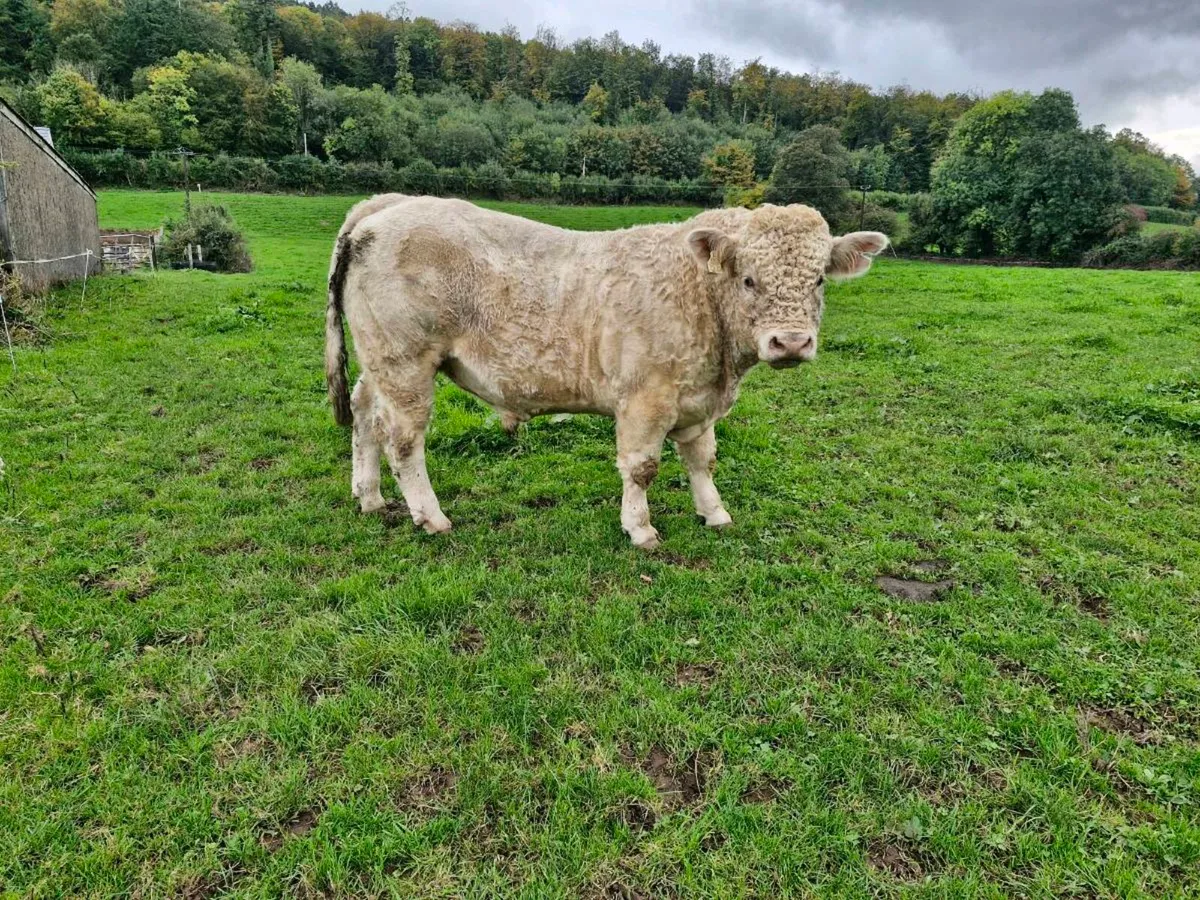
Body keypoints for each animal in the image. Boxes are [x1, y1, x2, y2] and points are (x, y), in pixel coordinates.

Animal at [326, 195, 888, 548]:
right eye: (749, 279)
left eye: (819, 280)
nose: (790, 342)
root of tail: (384, 207)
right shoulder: (645, 398)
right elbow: (642, 467)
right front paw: (640, 529)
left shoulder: (698, 401)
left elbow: (702, 460)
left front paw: (714, 513)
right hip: (406, 361)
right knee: (403, 441)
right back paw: (431, 516)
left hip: (379, 361)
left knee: (363, 413)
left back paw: (369, 497)